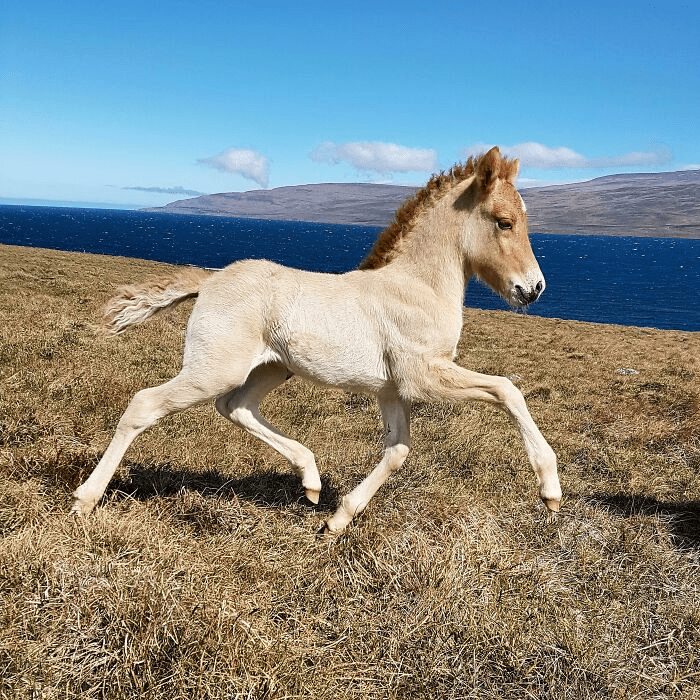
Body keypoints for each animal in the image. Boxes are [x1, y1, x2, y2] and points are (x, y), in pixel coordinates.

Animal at [72, 146, 564, 532]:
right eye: (504, 222)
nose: (534, 288)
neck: (416, 287)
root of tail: (209, 280)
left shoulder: (391, 390)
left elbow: (398, 449)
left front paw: (339, 518)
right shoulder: (423, 375)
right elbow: (507, 389)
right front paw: (550, 490)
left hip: (273, 367)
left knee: (236, 406)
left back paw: (310, 479)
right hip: (214, 368)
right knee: (145, 404)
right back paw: (84, 499)